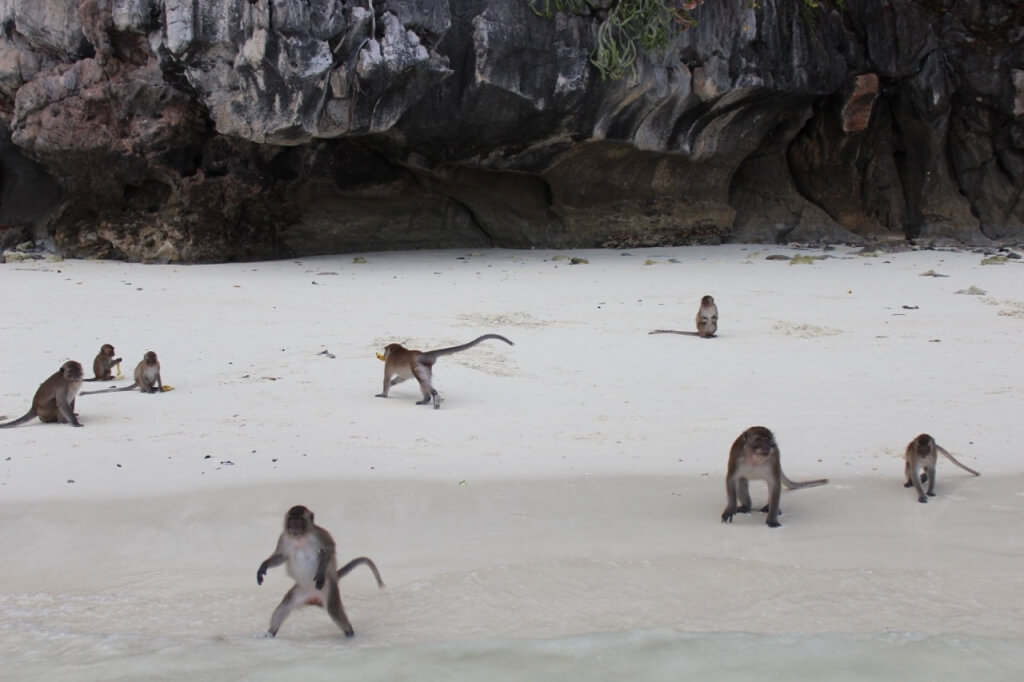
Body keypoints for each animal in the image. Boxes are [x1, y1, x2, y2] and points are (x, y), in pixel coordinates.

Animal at [254, 501, 385, 634]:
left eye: (299, 520)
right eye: (291, 520)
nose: (294, 527)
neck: (299, 538)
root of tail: (313, 595)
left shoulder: (318, 534)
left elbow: (329, 549)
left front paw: (320, 575)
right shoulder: (284, 537)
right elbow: (281, 556)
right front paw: (263, 567)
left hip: (328, 587)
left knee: (333, 609)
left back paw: (350, 633)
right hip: (301, 589)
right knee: (285, 606)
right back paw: (270, 634)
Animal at [374, 331, 512, 405]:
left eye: (385, 350)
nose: (384, 354)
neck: (397, 350)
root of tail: (424, 355)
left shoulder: (389, 364)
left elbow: (386, 379)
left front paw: (383, 394)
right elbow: (402, 377)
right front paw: (393, 383)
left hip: (418, 366)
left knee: (422, 380)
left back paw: (433, 397)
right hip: (425, 367)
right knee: (424, 381)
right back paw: (426, 399)